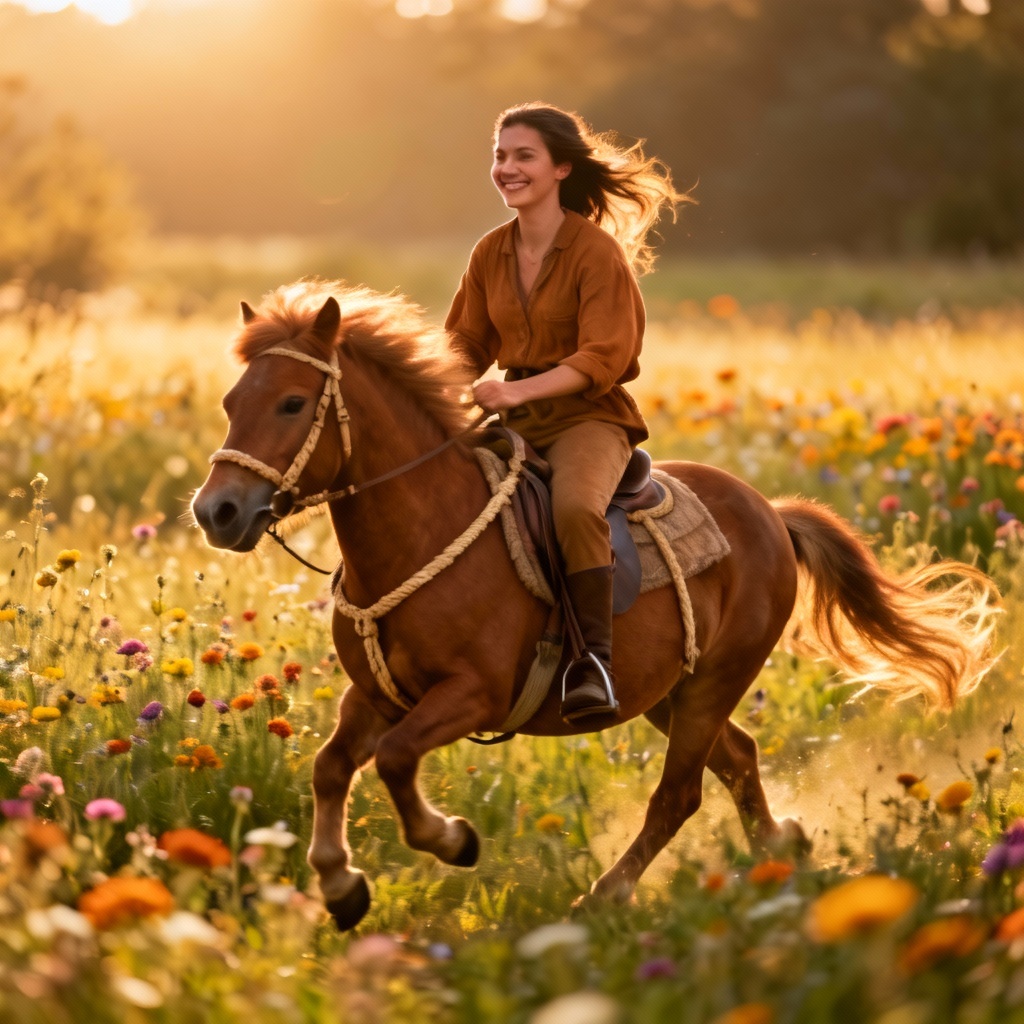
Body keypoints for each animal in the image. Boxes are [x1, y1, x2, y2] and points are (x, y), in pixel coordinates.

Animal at [191, 279, 999, 931]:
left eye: (292, 402)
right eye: (231, 402)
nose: (216, 512)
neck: (425, 527)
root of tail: (772, 512)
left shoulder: (471, 696)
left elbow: (391, 762)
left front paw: (454, 839)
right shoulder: (377, 695)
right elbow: (331, 768)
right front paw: (340, 887)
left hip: (712, 683)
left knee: (679, 795)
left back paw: (607, 895)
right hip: (669, 691)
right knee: (737, 759)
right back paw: (780, 852)